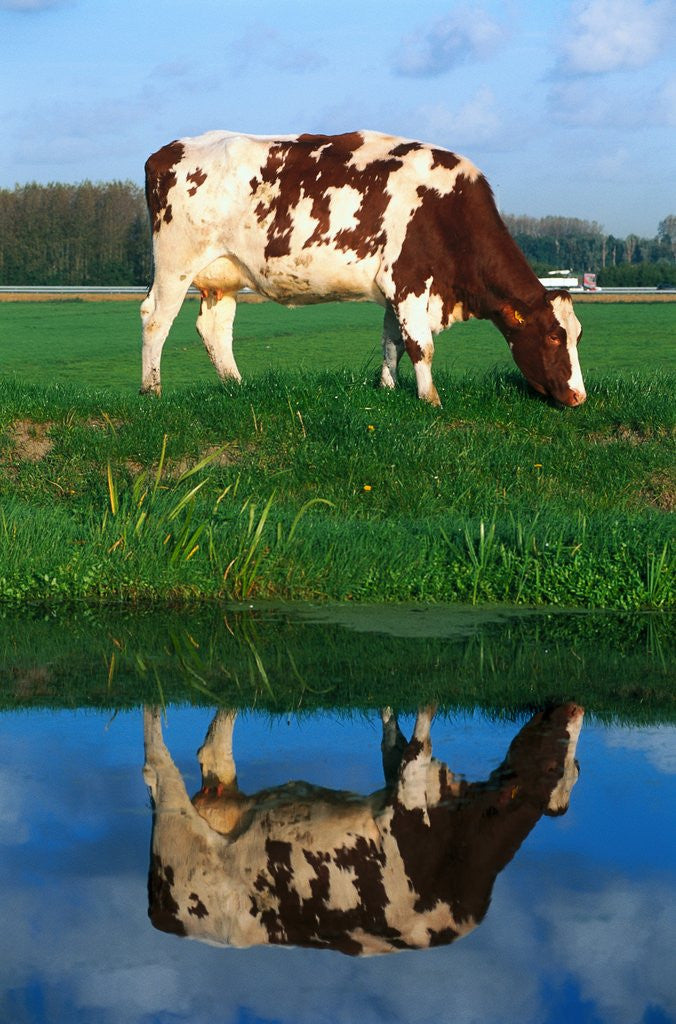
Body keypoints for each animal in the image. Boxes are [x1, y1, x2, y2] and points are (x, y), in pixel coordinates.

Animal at [140, 130, 586, 407]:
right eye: (552, 336)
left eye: (577, 335)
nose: (579, 397)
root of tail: (166, 151)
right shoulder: (409, 280)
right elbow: (421, 346)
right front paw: (431, 400)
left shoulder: (395, 290)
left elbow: (392, 343)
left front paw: (387, 389)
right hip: (175, 263)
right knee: (155, 319)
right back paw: (152, 392)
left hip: (223, 275)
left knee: (215, 329)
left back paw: (236, 387)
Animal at [143, 702, 584, 956]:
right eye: (551, 768)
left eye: (576, 769)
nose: (576, 707)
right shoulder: (412, 787)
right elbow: (423, 727)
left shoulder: (403, 777)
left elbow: (392, 735)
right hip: (175, 826)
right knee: (155, 766)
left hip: (221, 811)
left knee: (214, 756)